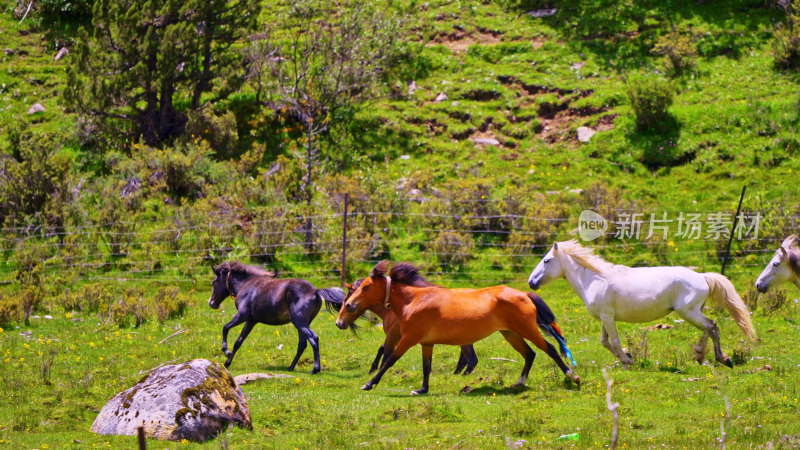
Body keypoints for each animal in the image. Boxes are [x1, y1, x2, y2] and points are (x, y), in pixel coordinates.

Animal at [206, 262, 344, 374]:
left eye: (214, 282)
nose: (211, 303)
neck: (247, 285)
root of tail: (315, 291)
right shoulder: (251, 321)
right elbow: (238, 342)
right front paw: (227, 363)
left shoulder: (242, 315)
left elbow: (225, 328)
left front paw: (226, 351)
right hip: (303, 324)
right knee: (302, 344)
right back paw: (290, 367)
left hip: (300, 323)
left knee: (313, 338)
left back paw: (315, 369)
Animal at [334, 260, 580, 394]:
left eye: (366, 287)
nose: (341, 319)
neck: (414, 301)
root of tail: (524, 294)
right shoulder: (426, 343)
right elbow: (426, 367)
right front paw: (422, 389)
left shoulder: (407, 339)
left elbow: (389, 360)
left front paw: (369, 383)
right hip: (510, 334)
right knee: (529, 354)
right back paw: (519, 382)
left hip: (526, 330)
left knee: (550, 349)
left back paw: (572, 376)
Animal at [528, 241, 760, 368]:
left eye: (547, 260)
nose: (531, 282)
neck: (594, 279)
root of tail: (702, 276)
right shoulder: (605, 317)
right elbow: (605, 341)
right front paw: (628, 357)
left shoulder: (608, 317)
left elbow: (613, 340)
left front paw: (627, 361)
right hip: (693, 311)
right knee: (709, 328)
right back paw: (702, 355)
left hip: (688, 312)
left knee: (712, 326)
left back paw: (722, 358)